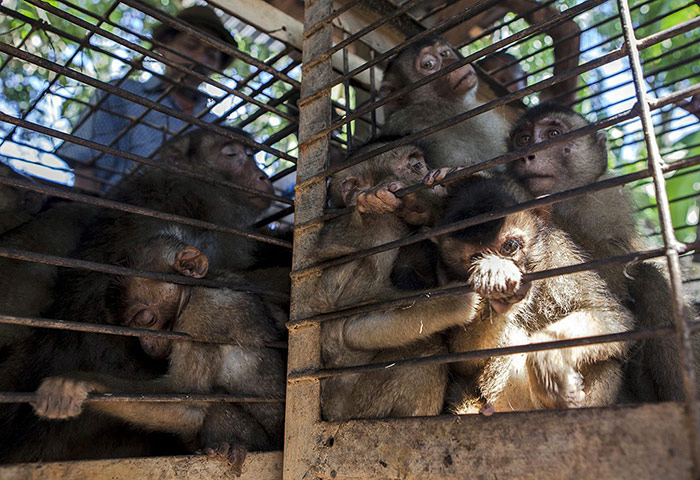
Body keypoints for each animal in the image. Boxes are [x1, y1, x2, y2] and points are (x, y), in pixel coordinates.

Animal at [317, 141, 478, 421]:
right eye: (415, 166)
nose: (429, 172)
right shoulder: (378, 232)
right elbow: (350, 319)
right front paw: (460, 300)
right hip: (356, 406)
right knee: (424, 353)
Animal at [432, 175, 633, 412]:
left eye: (510, 246)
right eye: (476, 257)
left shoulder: (559, 256)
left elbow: (610, 317)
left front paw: (547, 358)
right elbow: (463, 361)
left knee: (607, 363)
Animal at [506, 102, 700, 402]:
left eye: (553, 134)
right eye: (523, 139)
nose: (528, 155)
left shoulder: (606, 201)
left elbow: (617, 267)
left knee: (648, 277)